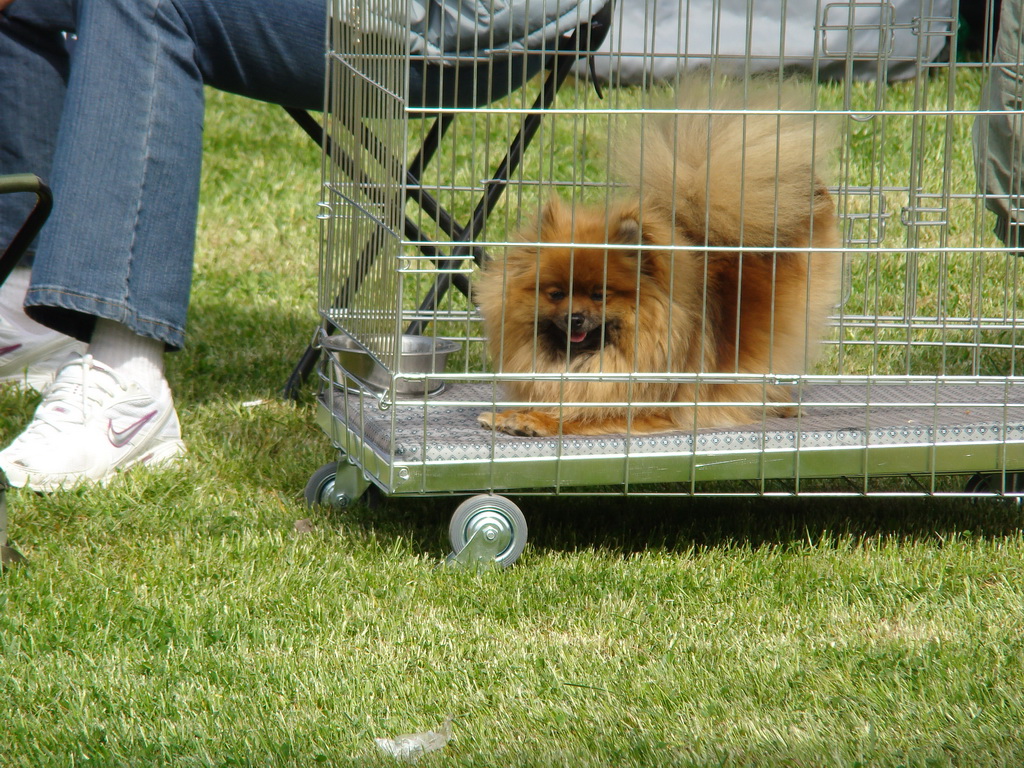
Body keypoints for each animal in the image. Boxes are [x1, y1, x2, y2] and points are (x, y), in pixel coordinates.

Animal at [471, 74, 839, 436]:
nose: (575, 317)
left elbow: (578, 415)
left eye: (600, 295)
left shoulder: (642, 405)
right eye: (556, 294)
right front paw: (511, 413)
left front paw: (532, 420)